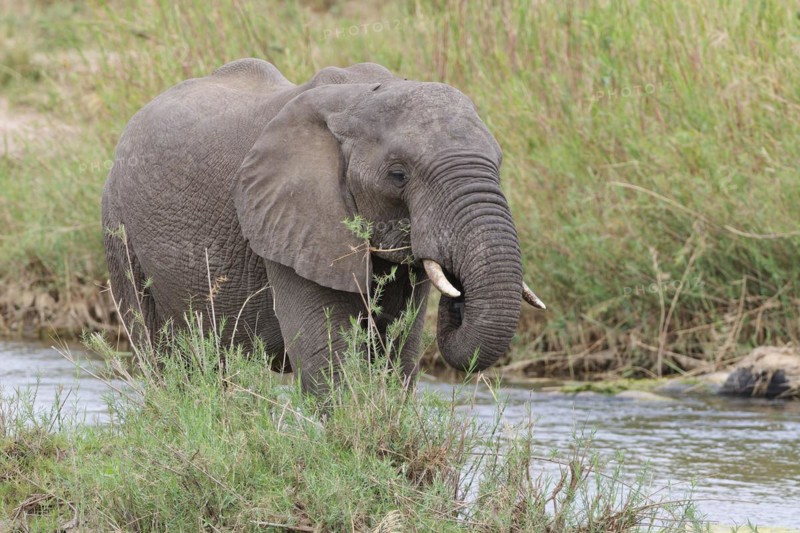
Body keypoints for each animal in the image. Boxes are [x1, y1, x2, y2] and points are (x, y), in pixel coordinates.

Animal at [102, 59, 545, 394]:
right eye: (398, 175)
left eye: (498, 163)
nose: (459, 294)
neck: (359, 98)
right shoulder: (290, 222)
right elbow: (328, 355)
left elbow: (398, 354)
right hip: (118, 227)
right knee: (165, 356)